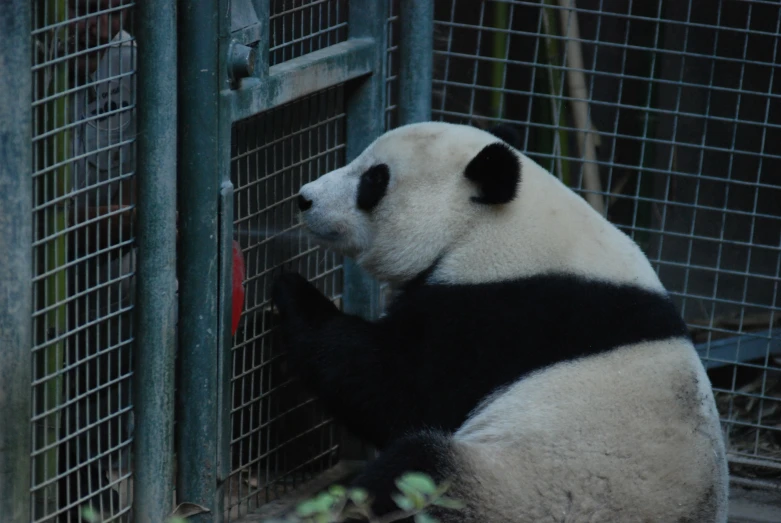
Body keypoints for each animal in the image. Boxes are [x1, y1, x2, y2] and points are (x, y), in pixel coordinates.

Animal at [272, 121, 728, 520]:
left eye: (373, 179)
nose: (304, 198)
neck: (496, 226)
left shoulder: (505, 314)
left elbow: (395, 388)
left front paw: (290, 290)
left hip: (515, 490)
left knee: (413, 470)